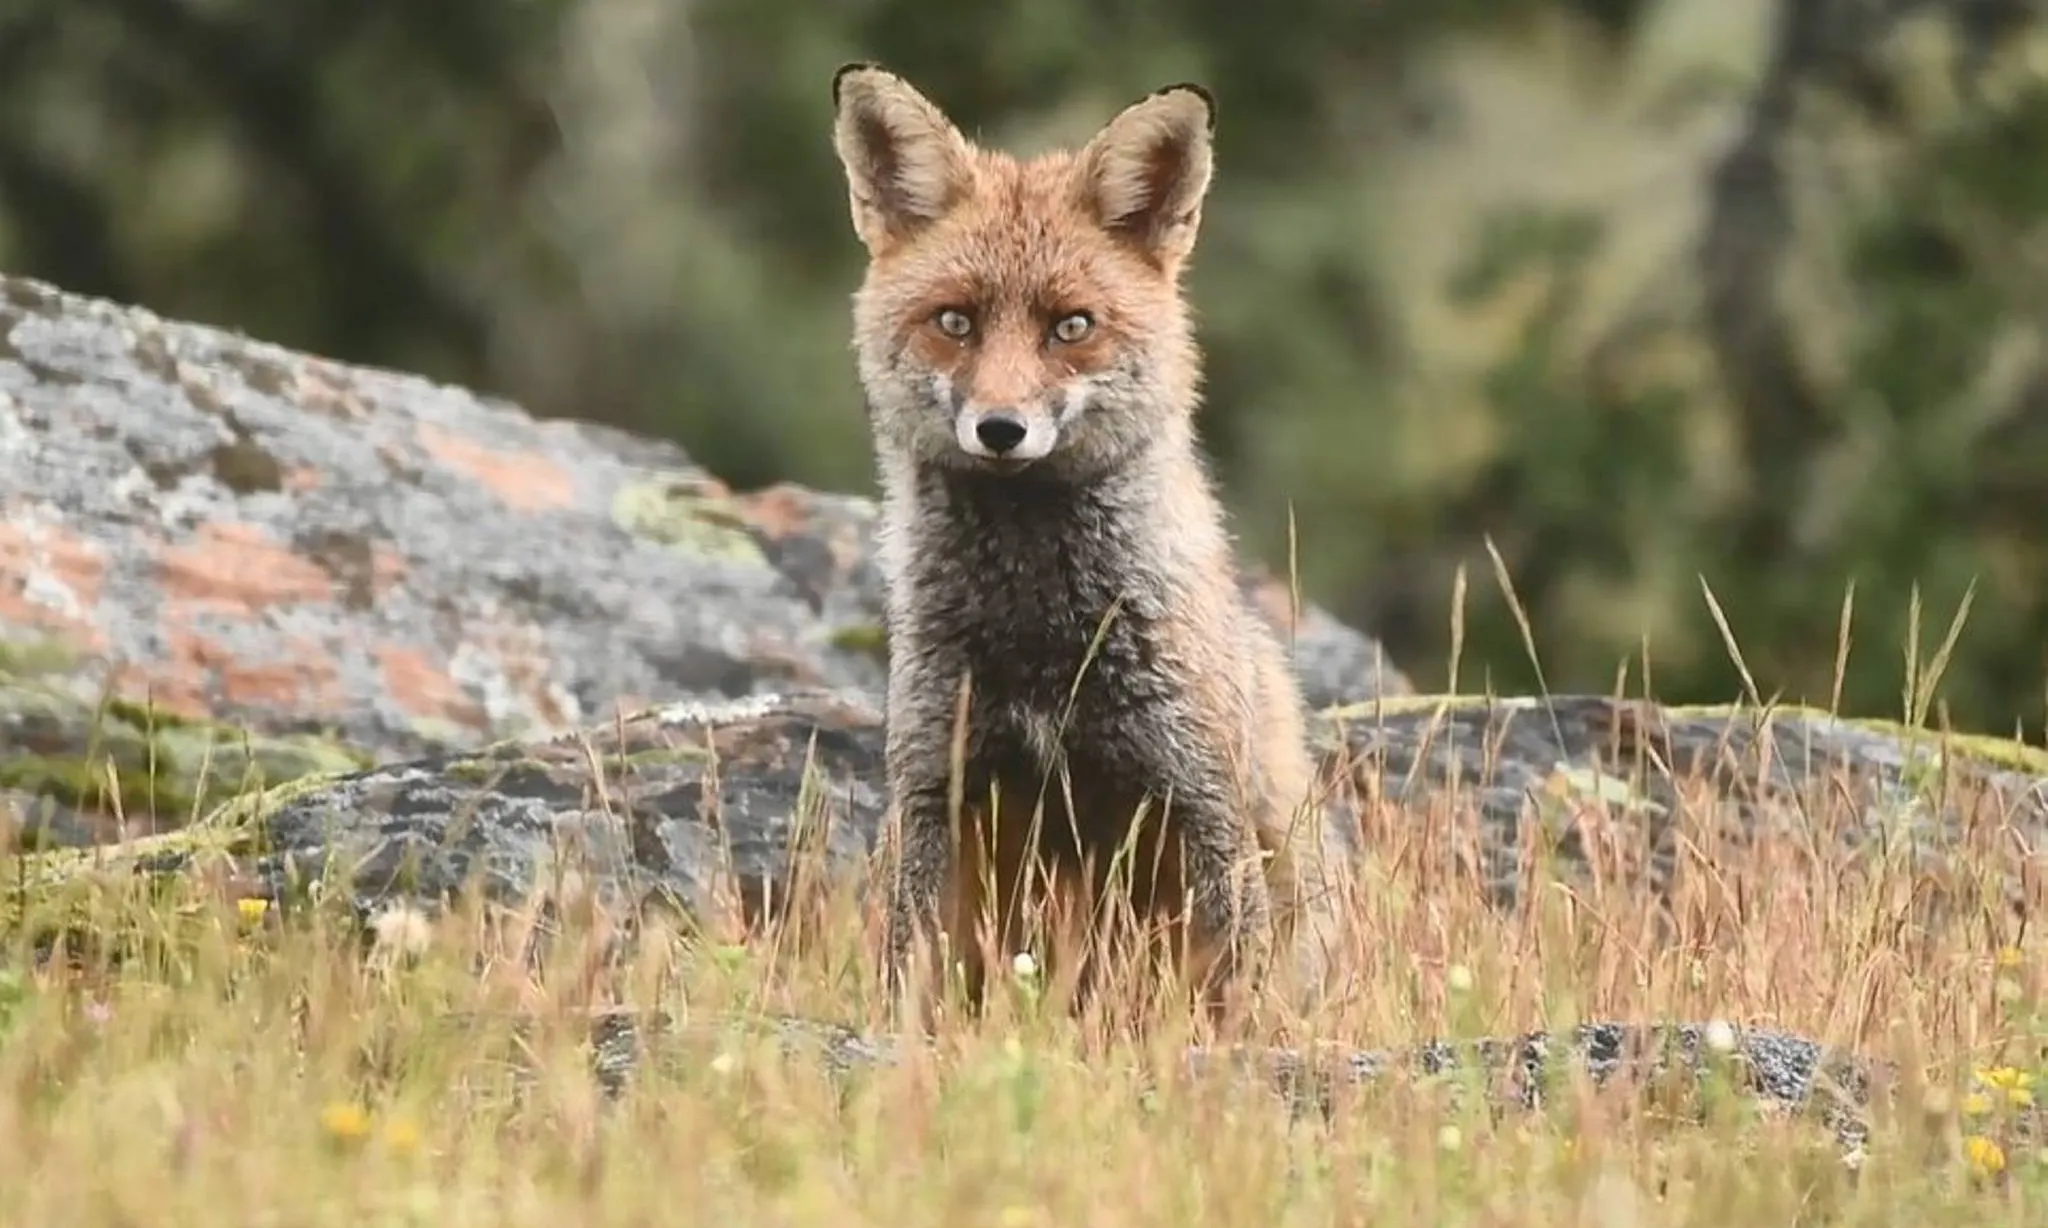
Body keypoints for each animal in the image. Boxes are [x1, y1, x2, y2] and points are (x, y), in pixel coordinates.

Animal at [823, 62, 1351, 1031]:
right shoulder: (938, 791)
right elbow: (911, 974)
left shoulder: (1196, 798)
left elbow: (1232, 990)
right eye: (954, 321)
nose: (1001, 428)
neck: (1041, 640)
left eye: (1071, 326)